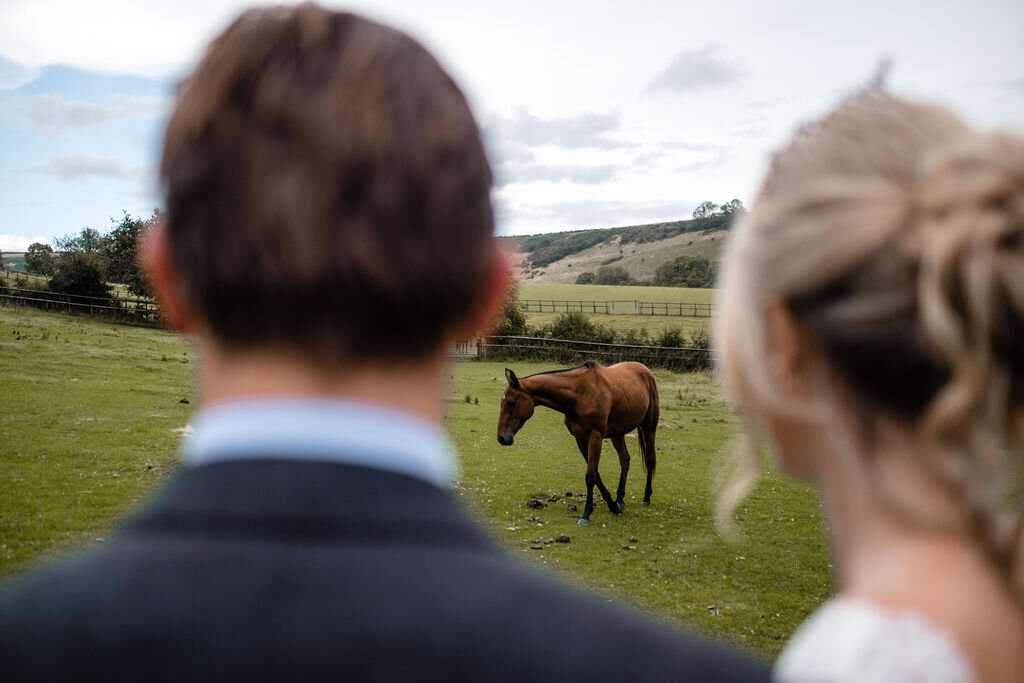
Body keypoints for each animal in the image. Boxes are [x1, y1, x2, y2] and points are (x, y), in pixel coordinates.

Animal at [497, 360, 659, 528]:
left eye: (511, 402)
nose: (502, 437)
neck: (579, 395)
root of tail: (644, 370)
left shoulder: (596, 436)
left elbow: (590, 476)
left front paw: (586, 514)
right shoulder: (580, 438)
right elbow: (595, 474)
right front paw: (613, 505)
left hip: (649, 428)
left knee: (649, 460)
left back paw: (646, 498)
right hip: (617, 433)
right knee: (625, 460)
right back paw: (620, 500)